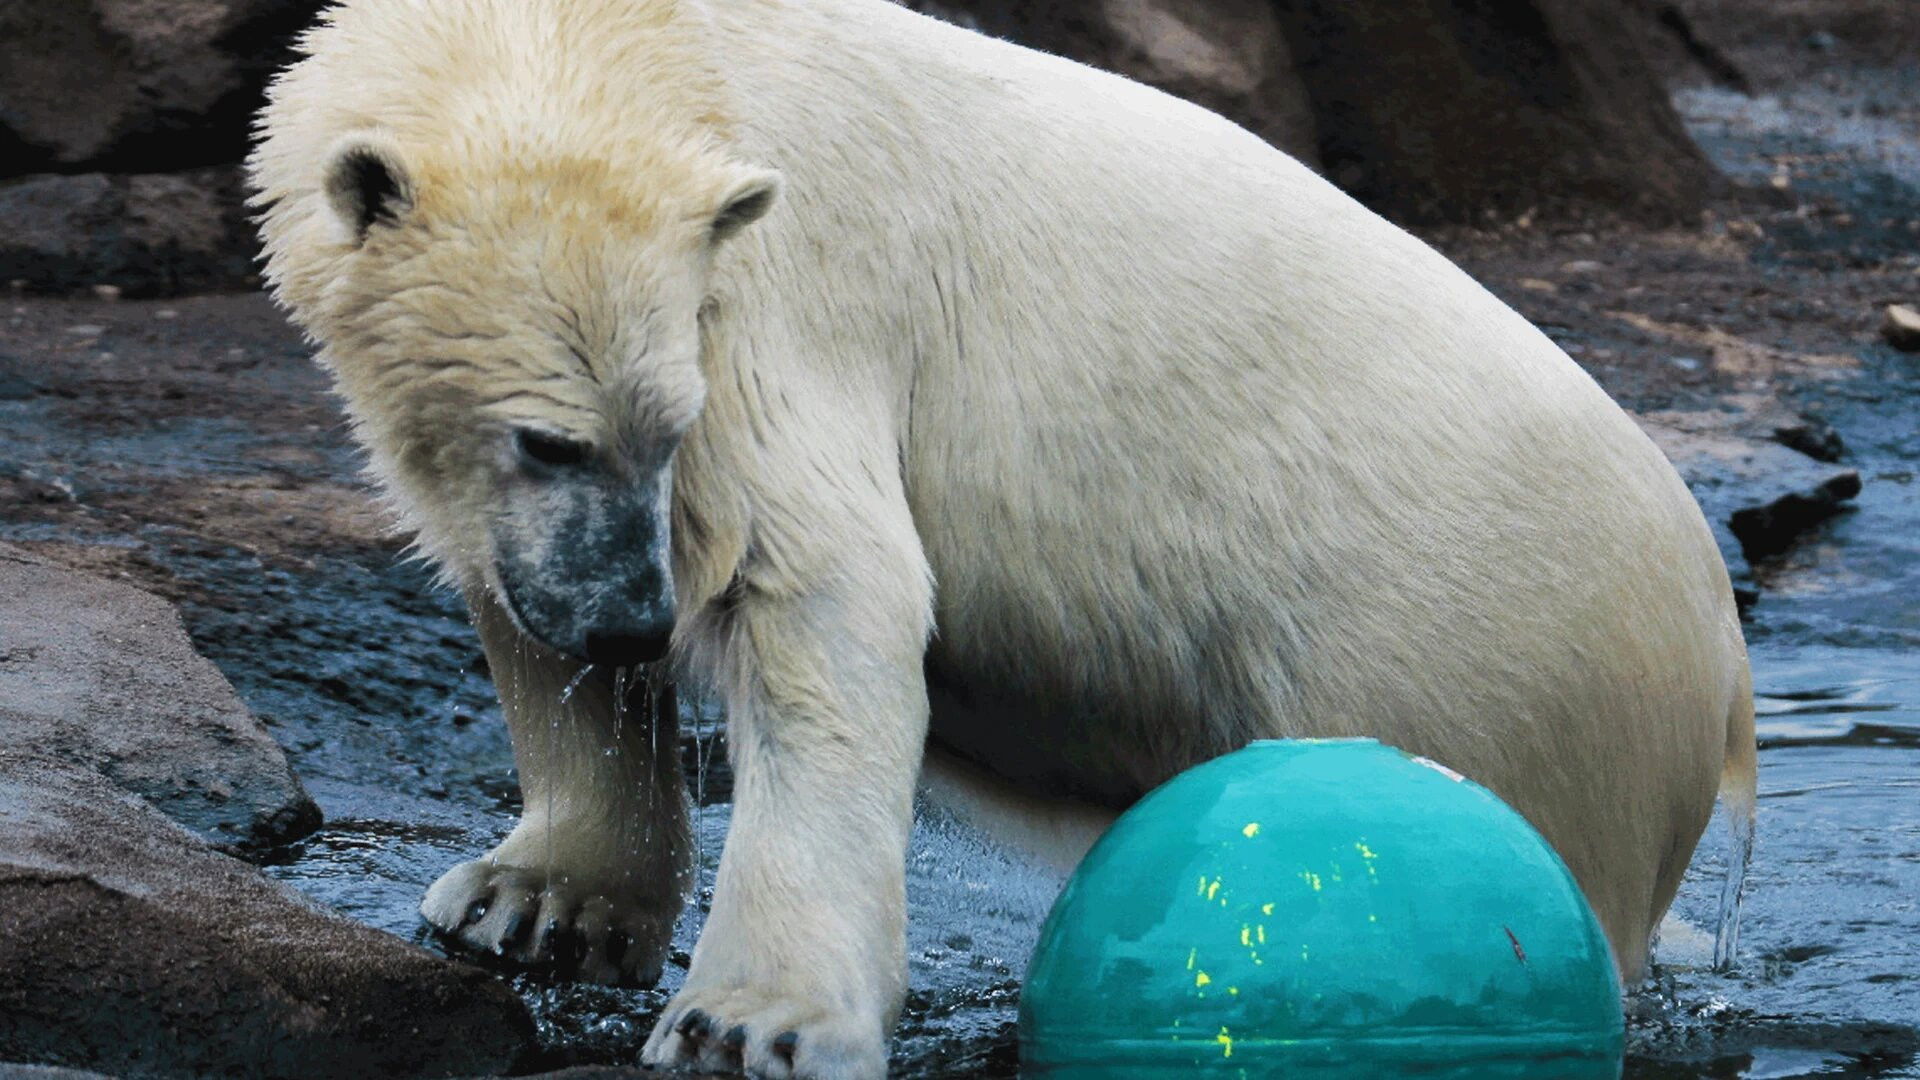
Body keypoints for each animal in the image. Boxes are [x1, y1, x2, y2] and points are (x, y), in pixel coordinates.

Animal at [248, 0, 1757, 1075]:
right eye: (547, 442)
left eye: (666, 429)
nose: (630, 618)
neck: (646, 42)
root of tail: (1725, 653)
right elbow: (522, 606)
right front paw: (531, 905)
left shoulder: (771, 300)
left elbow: (818, 587)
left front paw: (751, 1025)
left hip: (1483, 655)